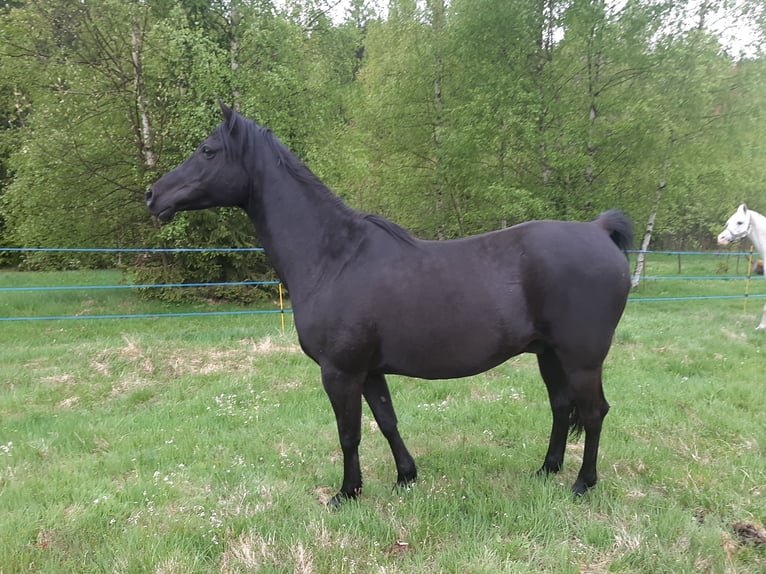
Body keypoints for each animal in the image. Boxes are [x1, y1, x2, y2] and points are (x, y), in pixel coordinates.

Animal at [146, 103, 633, 506]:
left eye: (208, 151)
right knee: (561, 406)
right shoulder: (370, 371)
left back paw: (581, 484)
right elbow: (387, 421)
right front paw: (405, 476)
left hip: (582, 359)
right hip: (549, 354)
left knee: (593, 412)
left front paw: (347, 493)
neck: (333, 257)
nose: (154, 195)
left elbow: (349, 434)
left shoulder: (340, 373)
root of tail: (598, 230)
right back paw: (546, 470)